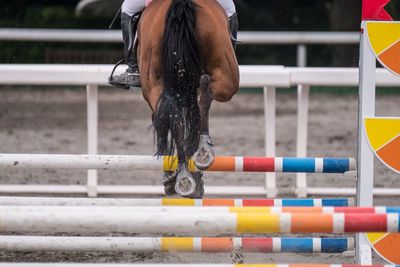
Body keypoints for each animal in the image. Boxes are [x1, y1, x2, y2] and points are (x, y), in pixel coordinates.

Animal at [137, 0, 238, 199]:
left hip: (155, 82)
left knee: (171, 114)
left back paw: (184, 174)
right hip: (227, 75)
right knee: (202, 95)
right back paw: (201, 154)